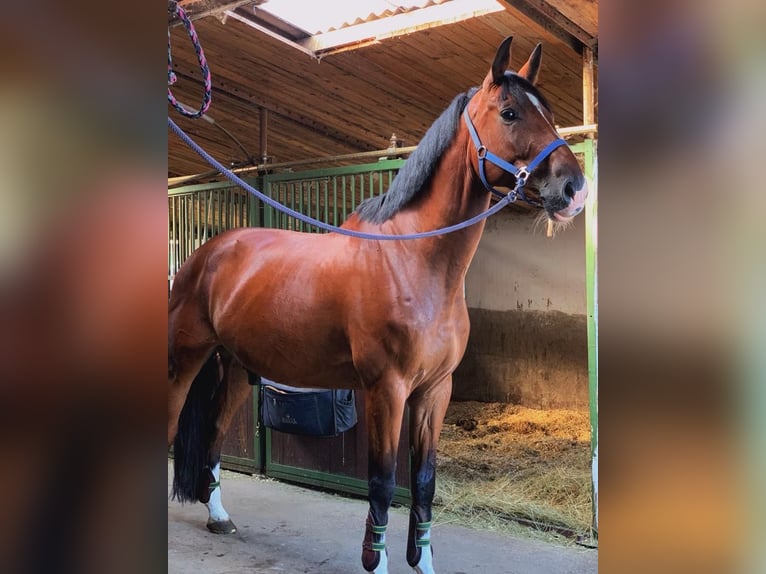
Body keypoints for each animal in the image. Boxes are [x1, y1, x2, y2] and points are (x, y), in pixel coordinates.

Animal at [168, 37, 588, 574]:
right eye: (510, 112)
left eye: (549, 113)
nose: (573, 189)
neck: (412, 260)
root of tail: (206, 253)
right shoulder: (386, 391)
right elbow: (384, 484)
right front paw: (378, 560)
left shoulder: (434, 392)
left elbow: (424, 484)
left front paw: (423, 562)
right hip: (185, 360)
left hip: (239, 367)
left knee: (216, 434)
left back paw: (219, 516)